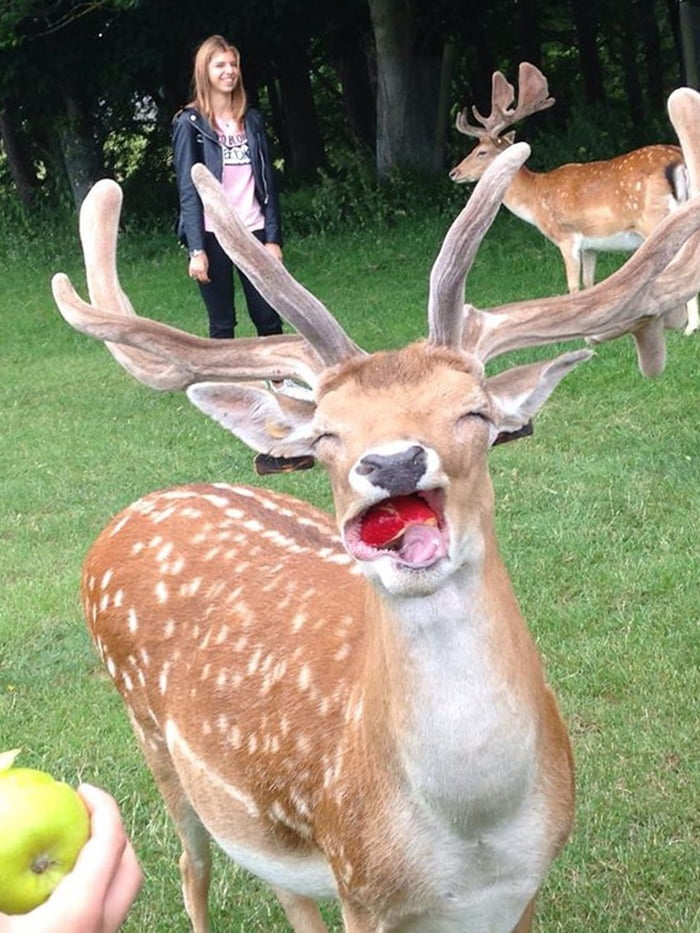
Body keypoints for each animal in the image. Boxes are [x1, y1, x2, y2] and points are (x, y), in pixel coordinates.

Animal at [449, 61, 699, 336]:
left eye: (482, 152)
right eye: (474, 148)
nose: (454, 172)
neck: (535, 199)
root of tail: (678, 161)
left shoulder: (566, 236)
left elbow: (573, 286)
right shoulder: (591, 245)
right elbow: (590, 285)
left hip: (654, 219)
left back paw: (690, 327)